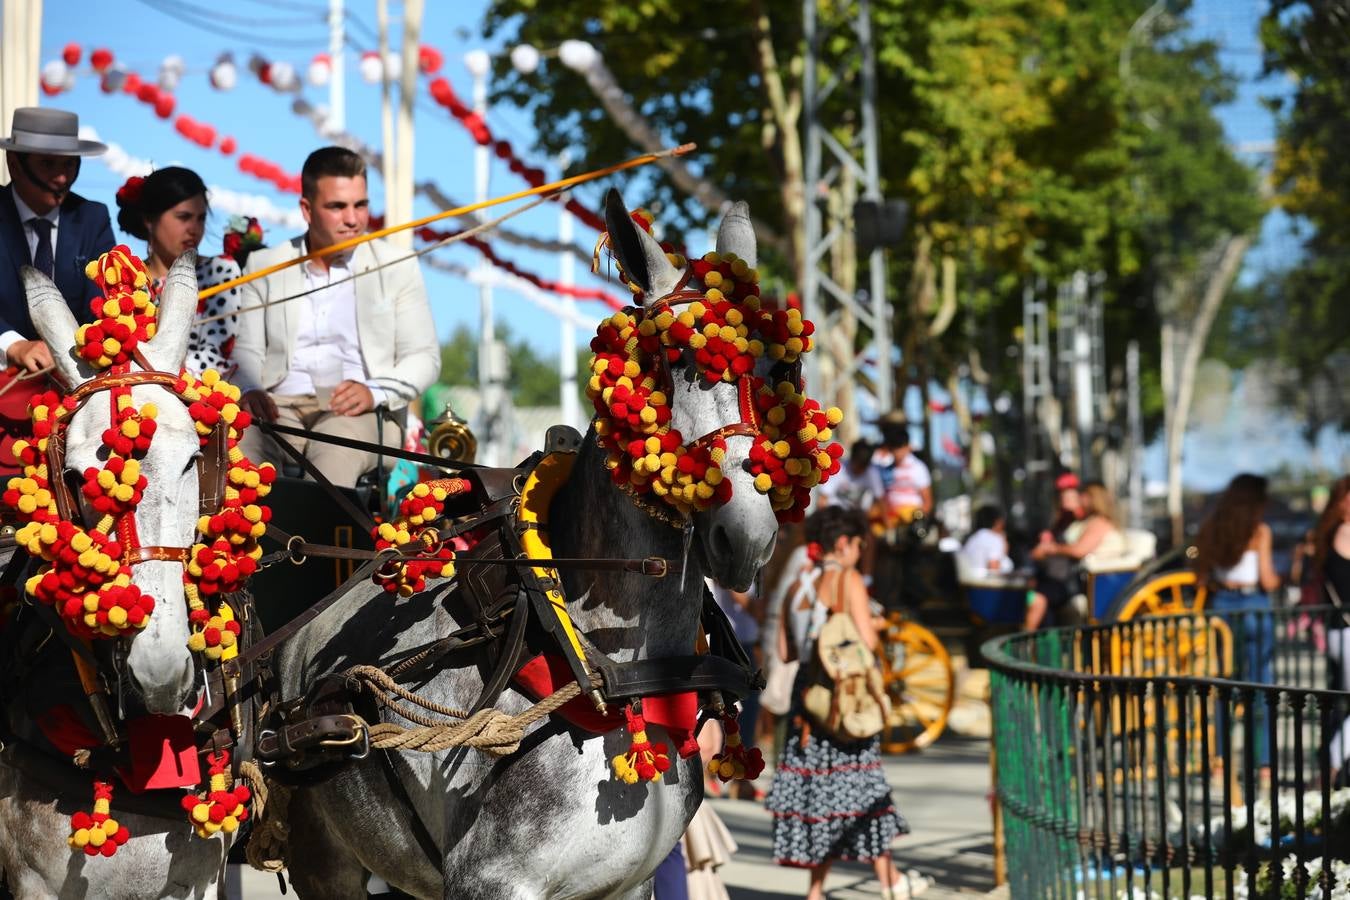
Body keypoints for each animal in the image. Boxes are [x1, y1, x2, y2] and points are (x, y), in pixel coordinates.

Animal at [271, 191, 783, 900]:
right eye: (670, 362)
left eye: (771, 370)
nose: (746, 534)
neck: (608, 675)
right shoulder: (491, 881)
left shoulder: (628, 884)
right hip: (324, 859)